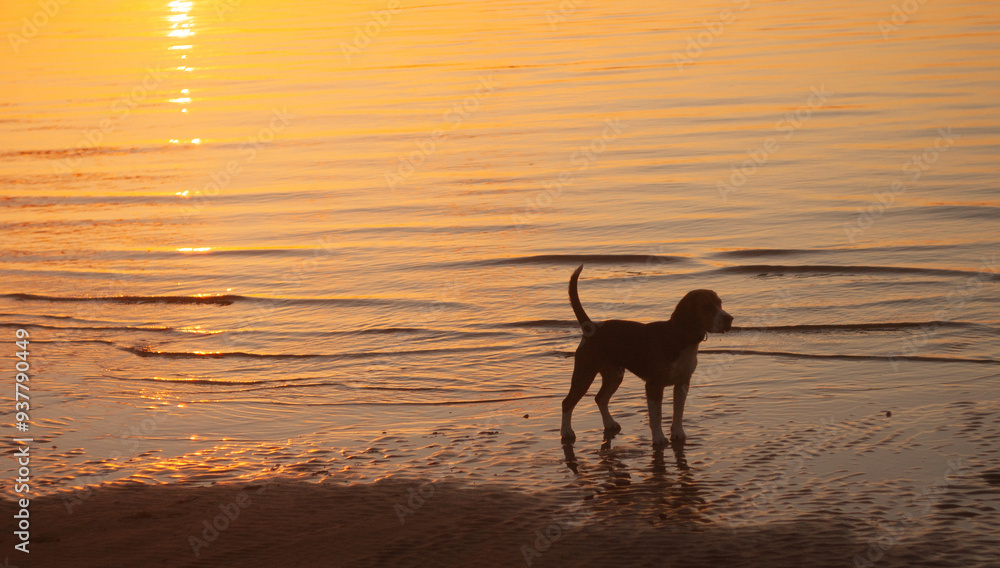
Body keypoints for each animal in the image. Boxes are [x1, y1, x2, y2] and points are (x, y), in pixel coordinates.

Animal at [560, 266, 732, 448]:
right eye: (707, 307)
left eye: (720, 303)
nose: (730, 319)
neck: (679, 338)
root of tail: (591, 327)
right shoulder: (654, 385)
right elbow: (656, 416)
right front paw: (659, 439)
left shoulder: (683, 382)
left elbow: (678, 412)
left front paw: (678, 433)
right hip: (584, 373)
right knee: (567, 402)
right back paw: (566, 432)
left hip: (615, 375)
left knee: (600, 398)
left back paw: (609, 423)